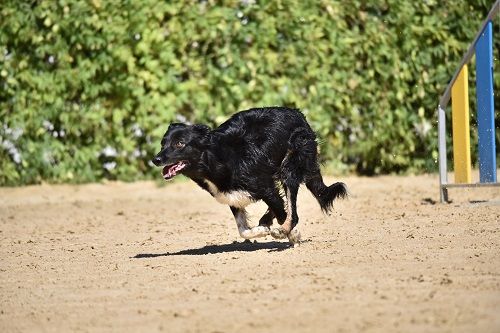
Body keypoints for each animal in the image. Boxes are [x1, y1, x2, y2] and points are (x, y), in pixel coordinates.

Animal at [151, 107, 348, 244]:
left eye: (179, 143)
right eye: (163, 143)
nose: (156, 159)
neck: (217, 157)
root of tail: (299, 114)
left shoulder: (266, 188)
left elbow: (284, 213)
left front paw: (291, 234)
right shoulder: (231, 195)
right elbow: (243, 230)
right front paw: (262, 230)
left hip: (289, 167)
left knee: (291, 209)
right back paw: (266, 220)